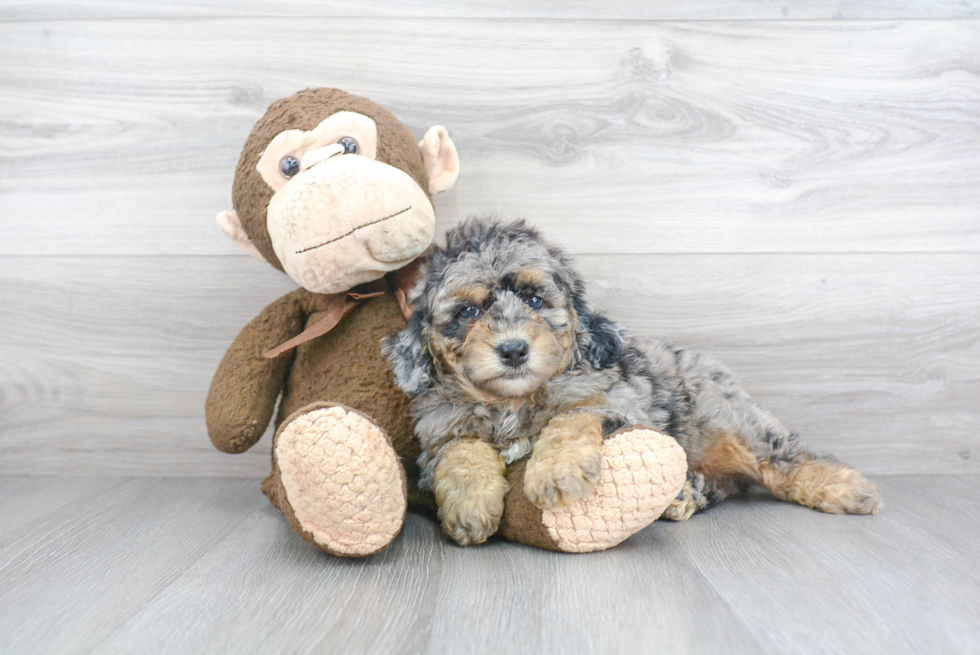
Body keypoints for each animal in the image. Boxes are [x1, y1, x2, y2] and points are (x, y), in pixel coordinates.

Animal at [386, 218, 884, 544]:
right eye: (468, 311)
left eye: (534, 299)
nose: (512, 350)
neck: (511, 402)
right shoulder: (438, 436)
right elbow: (462, 451)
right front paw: (470, 507)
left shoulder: (615, 401)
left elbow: (569, 419)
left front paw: (556, 472)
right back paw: (685, 494)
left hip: (731, 425)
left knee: (783, 460)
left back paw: (849, 489)